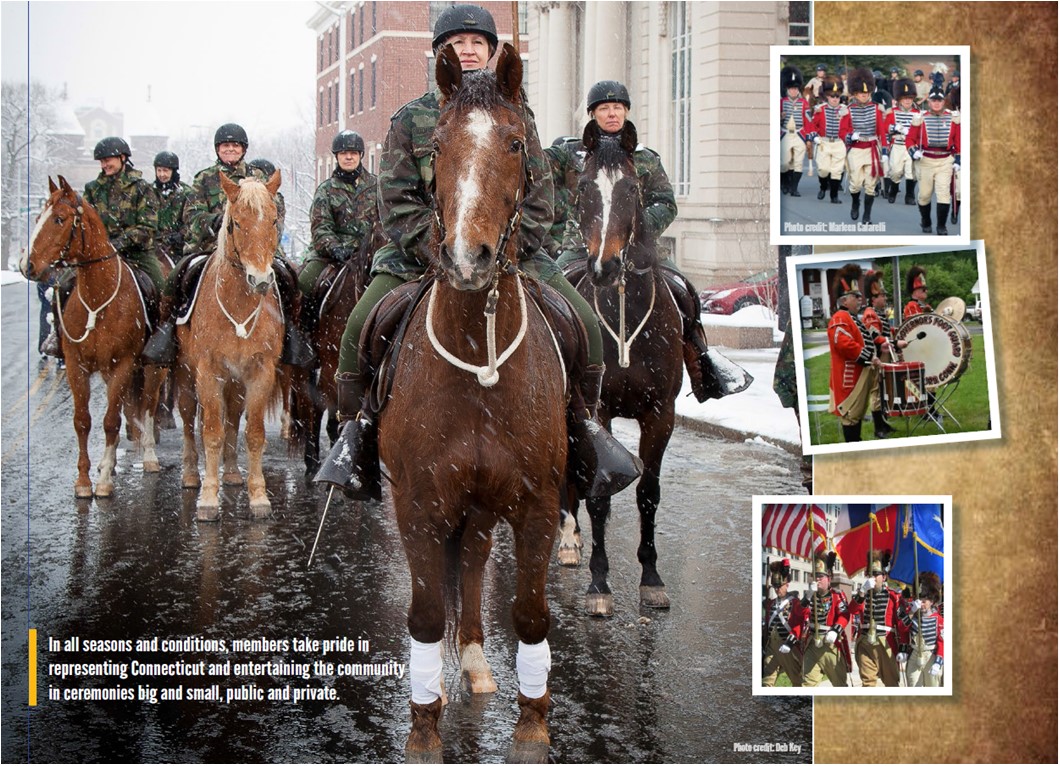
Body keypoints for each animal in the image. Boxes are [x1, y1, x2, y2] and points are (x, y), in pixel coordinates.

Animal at [21, 174, 163, 497]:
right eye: (37, 218)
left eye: (59, 219)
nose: (26, 265)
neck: (98, 299)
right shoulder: (77, 366)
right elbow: (83, 421)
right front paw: (85, 480)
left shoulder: (123, 364)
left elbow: (111, 421)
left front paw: (105, 481)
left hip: (153, 369)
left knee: (148, 406)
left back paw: (149, 456)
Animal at [178, 172, 286, 521]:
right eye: (235, 223)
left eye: (274, 220)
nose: (260, 280)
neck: (238, 307)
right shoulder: (208, 372)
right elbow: (211, 432)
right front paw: (209, 499)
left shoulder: (260, 372)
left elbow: (253, 433)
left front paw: (258, 496)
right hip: (185, 375)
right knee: (189, 419)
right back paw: (190, 474)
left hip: (236, 382)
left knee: (233, 418)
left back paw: (233, 473)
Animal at [379, 45, 568, 762]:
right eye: (435, 146)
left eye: (516, 143)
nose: (466, 258)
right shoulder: (417, 504)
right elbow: (427, 612)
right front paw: (423, 724)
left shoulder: (539, 502)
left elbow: (531, 613)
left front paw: (533, 720)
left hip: (486, 507)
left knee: (478, 565)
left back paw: (479, 663)